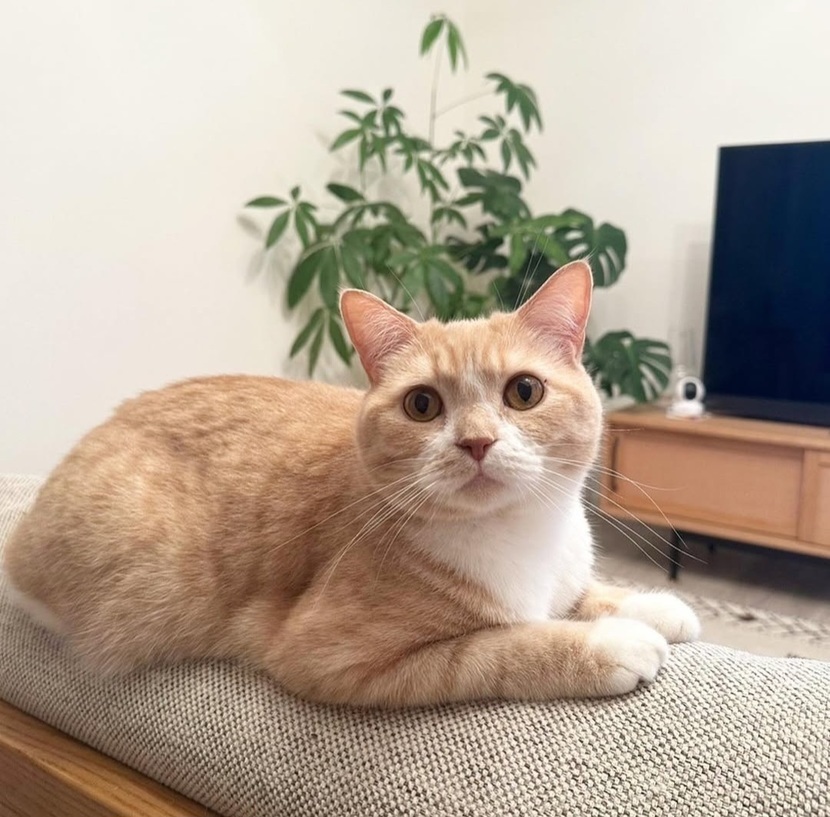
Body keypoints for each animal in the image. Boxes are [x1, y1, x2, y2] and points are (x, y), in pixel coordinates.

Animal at [3, 260, 699, 708]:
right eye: (422, 405)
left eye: (523, 392)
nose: (476, 442)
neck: (522, 538)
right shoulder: (333, 656)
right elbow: (502, 646)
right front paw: (611, 641)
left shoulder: (566, 575)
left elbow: (586, 593)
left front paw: (649, 605)